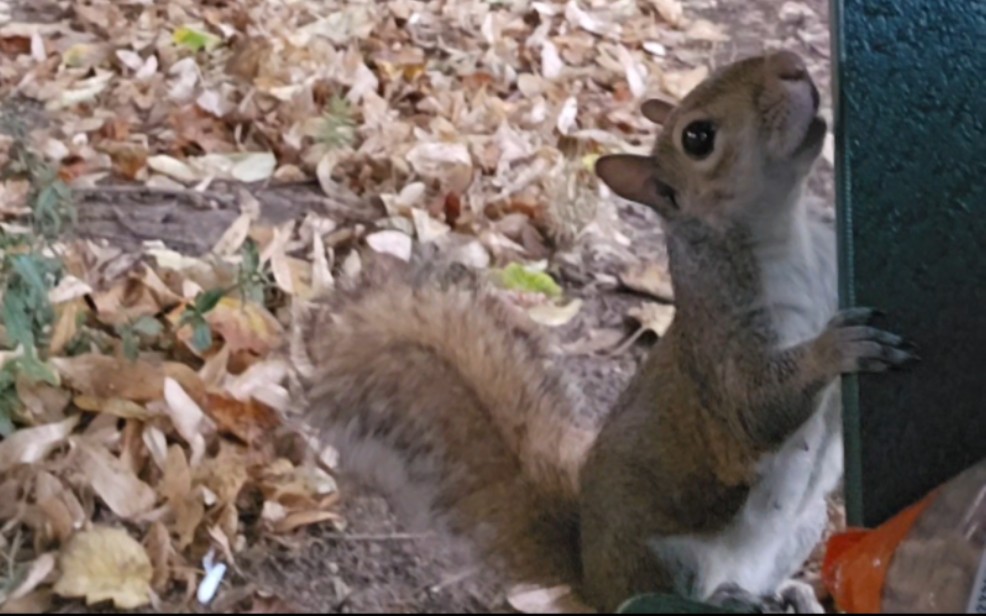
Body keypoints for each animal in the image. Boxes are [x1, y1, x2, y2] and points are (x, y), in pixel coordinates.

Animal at [290, 50, 916, 612]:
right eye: (698, 138)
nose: (792, 66)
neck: (788, 233)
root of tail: (592, 575)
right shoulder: (721, 340)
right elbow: (754, 406)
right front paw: (834, 348)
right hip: (665, 557)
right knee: (680, 592)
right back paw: (732, 599)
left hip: (800, 530)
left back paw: (790, 594)